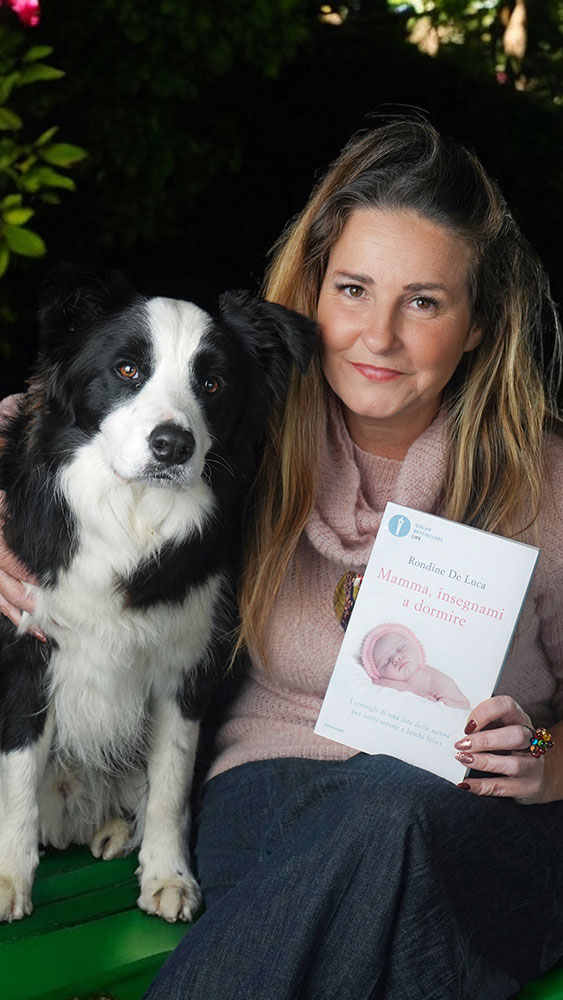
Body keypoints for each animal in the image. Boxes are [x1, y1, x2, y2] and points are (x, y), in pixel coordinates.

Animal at [0, 264, 317, 923]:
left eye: (213, 383)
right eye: (127, 370)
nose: (172, 445)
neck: (132, 514)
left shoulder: (187, 669)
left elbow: (170, 782)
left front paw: (168, 876)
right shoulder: (25, 652)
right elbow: (16, 778)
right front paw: (7, 878)